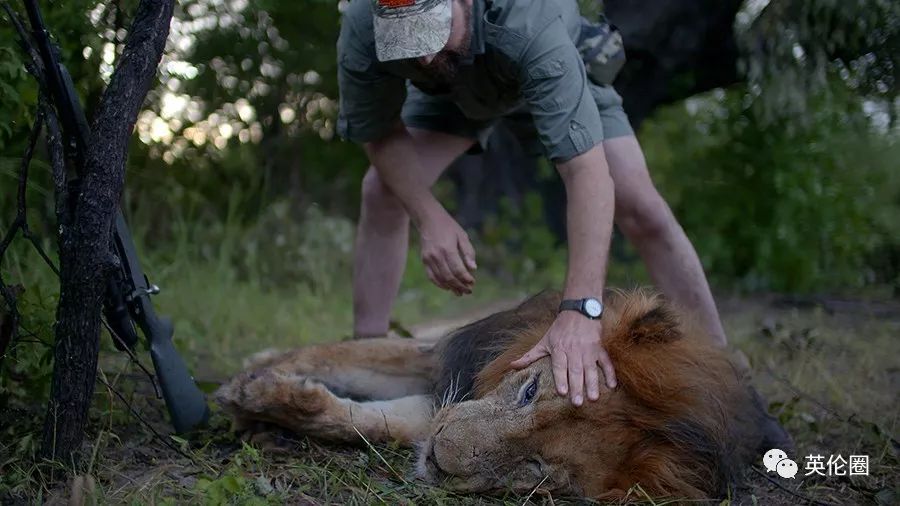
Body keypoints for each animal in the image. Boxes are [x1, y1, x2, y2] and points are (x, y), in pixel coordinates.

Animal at [216, 290, 780, 500]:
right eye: (529, 391)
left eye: (535, 470)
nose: (440, 459)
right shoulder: (444, 358)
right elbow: (336, 353)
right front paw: (247, 382)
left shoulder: (436, 406)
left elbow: (367, 420)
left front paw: (265, 399)